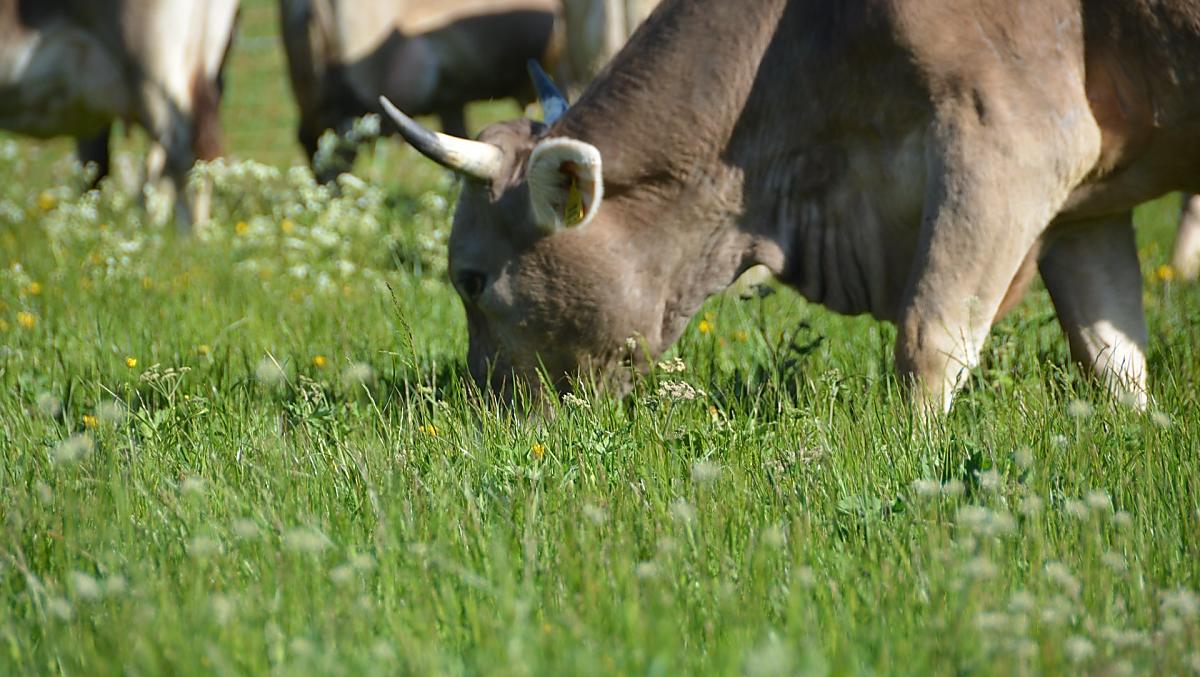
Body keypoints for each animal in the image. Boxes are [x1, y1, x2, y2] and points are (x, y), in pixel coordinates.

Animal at [380, 0, 1200, 415]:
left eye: (471, 279)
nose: (483, 409)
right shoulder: (1084, 205)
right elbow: (1112, 357)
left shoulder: (1013, 138)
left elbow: (929, 339)